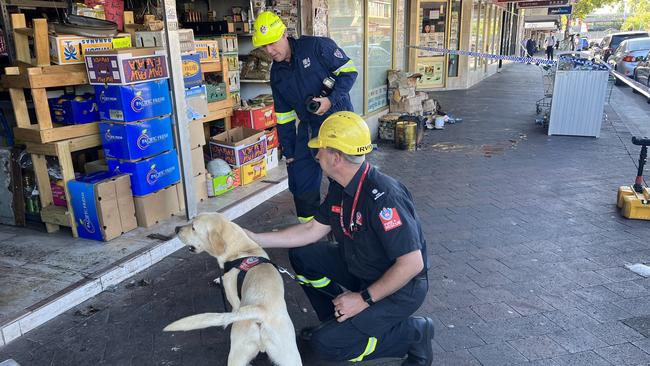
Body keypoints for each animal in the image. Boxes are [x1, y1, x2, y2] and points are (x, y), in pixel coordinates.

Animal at [165, 213, 302, 364]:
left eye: (193, 227)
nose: (176, 229)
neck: (242, 249)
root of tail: (261, 311)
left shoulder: (232, 293)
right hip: (289, 356)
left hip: (237, 353)